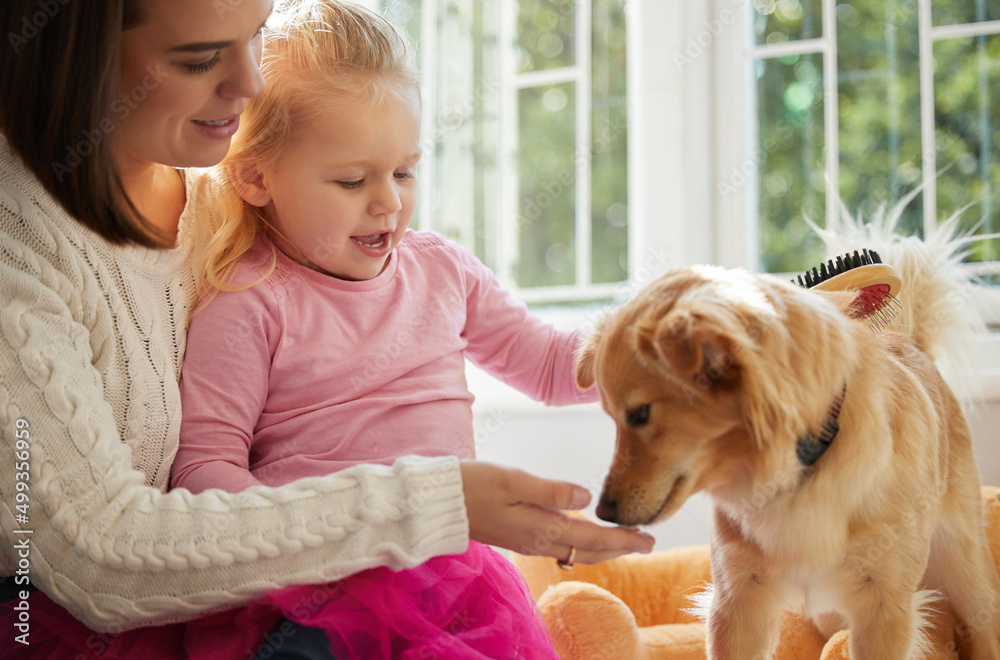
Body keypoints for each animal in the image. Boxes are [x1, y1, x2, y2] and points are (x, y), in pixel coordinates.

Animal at [576, 223, 1000, 660]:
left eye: (639, 415)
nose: (604, 511)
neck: (798, 467)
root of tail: (908, 342)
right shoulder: (738, 601)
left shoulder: (885, 608)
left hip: (964, 564)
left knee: (984, 622)